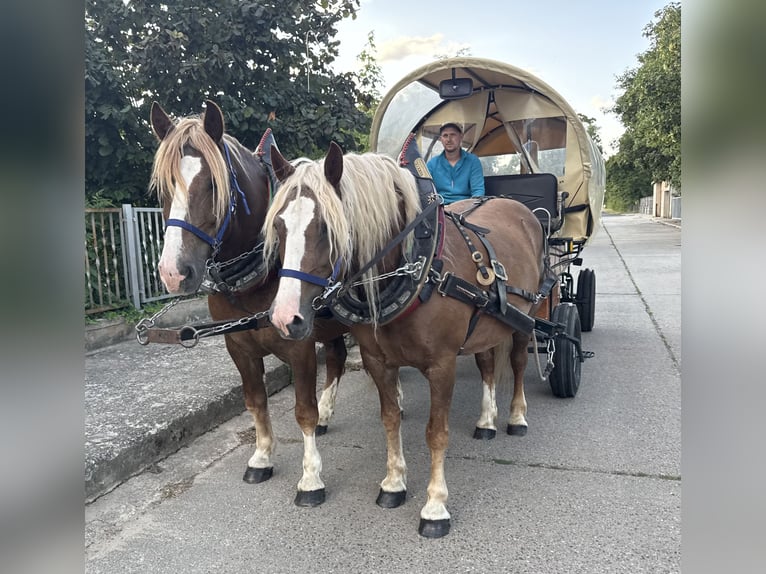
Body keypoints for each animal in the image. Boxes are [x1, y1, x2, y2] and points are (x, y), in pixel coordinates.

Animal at [148, 100, 349, 506]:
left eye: (213, 184)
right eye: (164, 187)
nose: (174, 272)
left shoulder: (299, 344)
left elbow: (303, 410)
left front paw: (310, 479)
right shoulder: (238, 344)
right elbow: (255, 400)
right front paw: (261, 457)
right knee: (338, 356)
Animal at [263, 142, 546, 537]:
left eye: (326, 228)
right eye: (279, 225)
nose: (285, 317)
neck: (417, 269)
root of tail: (519, 207)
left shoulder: (442, 365)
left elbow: (436, 433)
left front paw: (435, 506)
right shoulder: (378, 361)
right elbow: (390, 419)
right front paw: (394, 483)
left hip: (526, 317)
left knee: (518, 362)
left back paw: (516, 417)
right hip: (487, 324)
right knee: (488, 364)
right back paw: (486, 421)